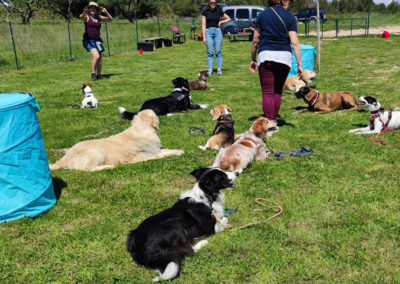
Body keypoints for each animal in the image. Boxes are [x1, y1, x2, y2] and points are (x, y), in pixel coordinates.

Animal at [48, 108, 184, 171]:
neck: (141, 128)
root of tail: (64, 157)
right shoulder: (148, 155)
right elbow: (165, 154)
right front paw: (178, 153)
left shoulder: (156, 150)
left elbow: (167, 150)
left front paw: (178, 150)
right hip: (98, 151)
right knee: (89, 169)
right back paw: (108, 166)